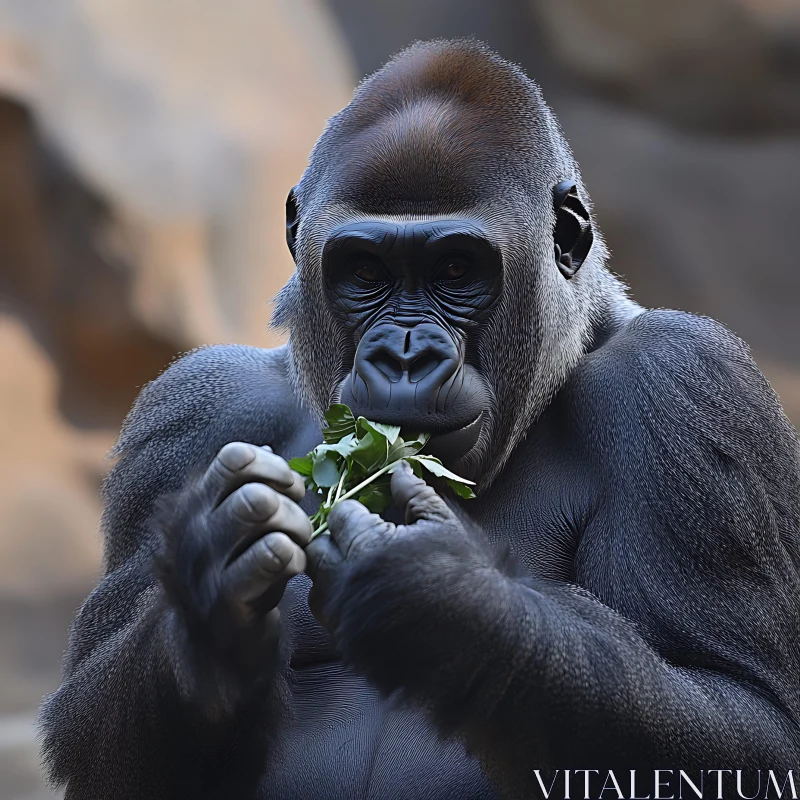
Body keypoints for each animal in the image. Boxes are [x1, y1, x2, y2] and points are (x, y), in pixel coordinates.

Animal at [39, 39, 800, 800]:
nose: (404, 355)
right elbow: (98, 737)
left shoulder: (685, 382)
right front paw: (208, 599)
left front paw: (444, 601)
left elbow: (752, 715)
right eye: (364, 271)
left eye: (457, 270)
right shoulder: (195, 406)